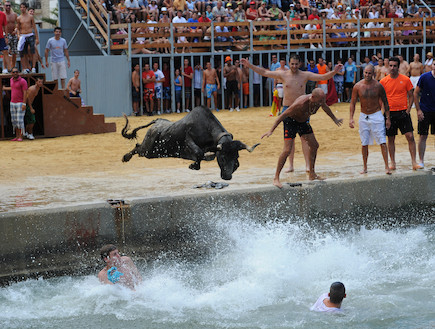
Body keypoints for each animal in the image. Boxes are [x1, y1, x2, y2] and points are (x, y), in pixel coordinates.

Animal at [121, 105, 260, 179]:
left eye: (235, 156)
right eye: (223, 158)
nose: (227, 177)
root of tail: (157, 121)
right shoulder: (189, 139)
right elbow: (198, 153)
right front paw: (193, 165)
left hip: (155, 152)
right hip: (148, 150)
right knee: (137, 147)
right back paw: (125, 157)